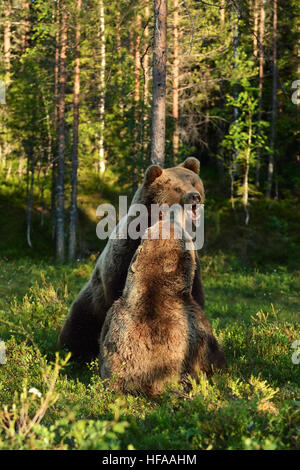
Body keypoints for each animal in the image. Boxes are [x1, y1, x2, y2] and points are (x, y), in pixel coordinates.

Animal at [59, 157, 206, 360]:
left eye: (194, 182)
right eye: (177, 188)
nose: (195, 197)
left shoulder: (189, 262)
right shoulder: (123, 258)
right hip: (87, 306)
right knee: (78, 328)